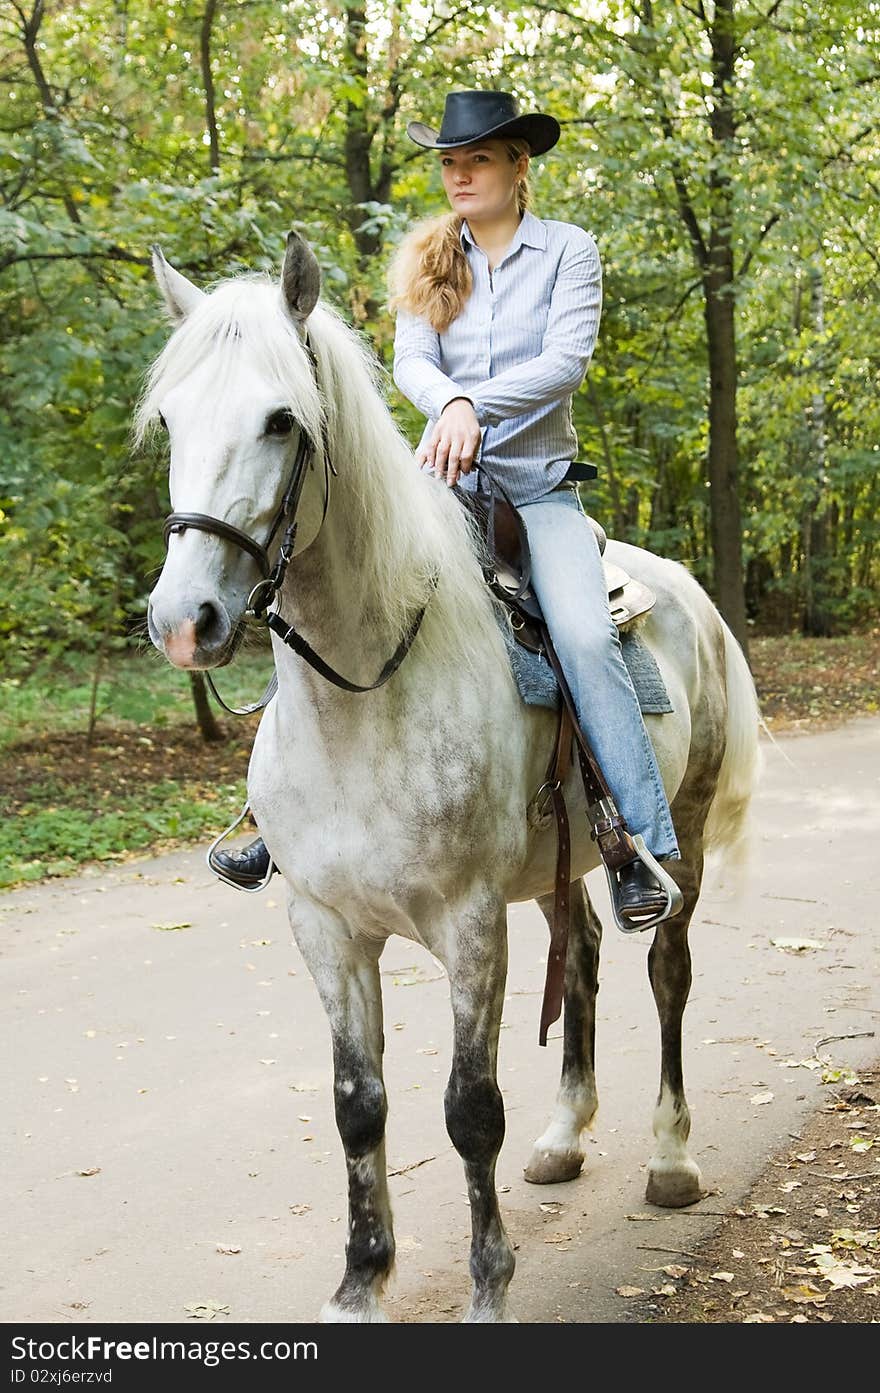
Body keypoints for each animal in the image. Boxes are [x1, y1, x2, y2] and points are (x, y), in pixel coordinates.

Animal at [140, 234, 757, 1320]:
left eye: (280, 419)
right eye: (171, 416)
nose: (184, 621)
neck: (363, 701)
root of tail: (688, 592)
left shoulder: (470, 924)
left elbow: (469, 1110)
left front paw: (487, 1287)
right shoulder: (326, 927)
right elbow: (358, 1105)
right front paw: (359, 1283)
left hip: (674, 833)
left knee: (666, 971)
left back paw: (671, 1160)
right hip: (556, 862)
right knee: (582, 954)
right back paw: (562, 1137)